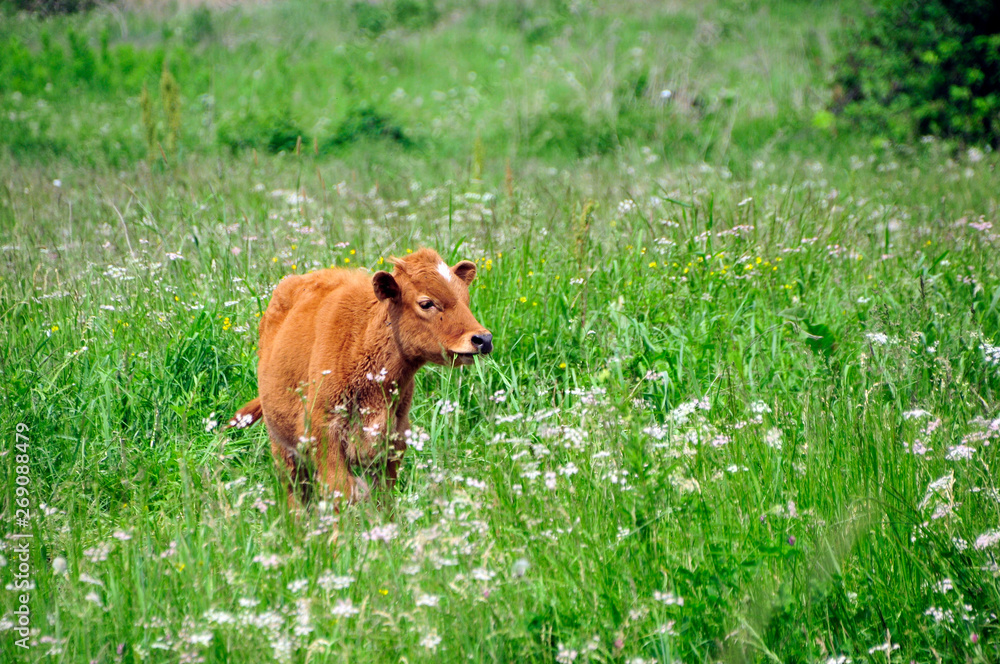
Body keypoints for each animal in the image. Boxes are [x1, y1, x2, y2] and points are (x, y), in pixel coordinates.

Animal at [228, 248, 492, 504]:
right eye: (426, 303)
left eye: (466, 300)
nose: (483, 339)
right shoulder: (325, 436)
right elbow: (340, 492)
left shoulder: (392, 443)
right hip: (283, 450)